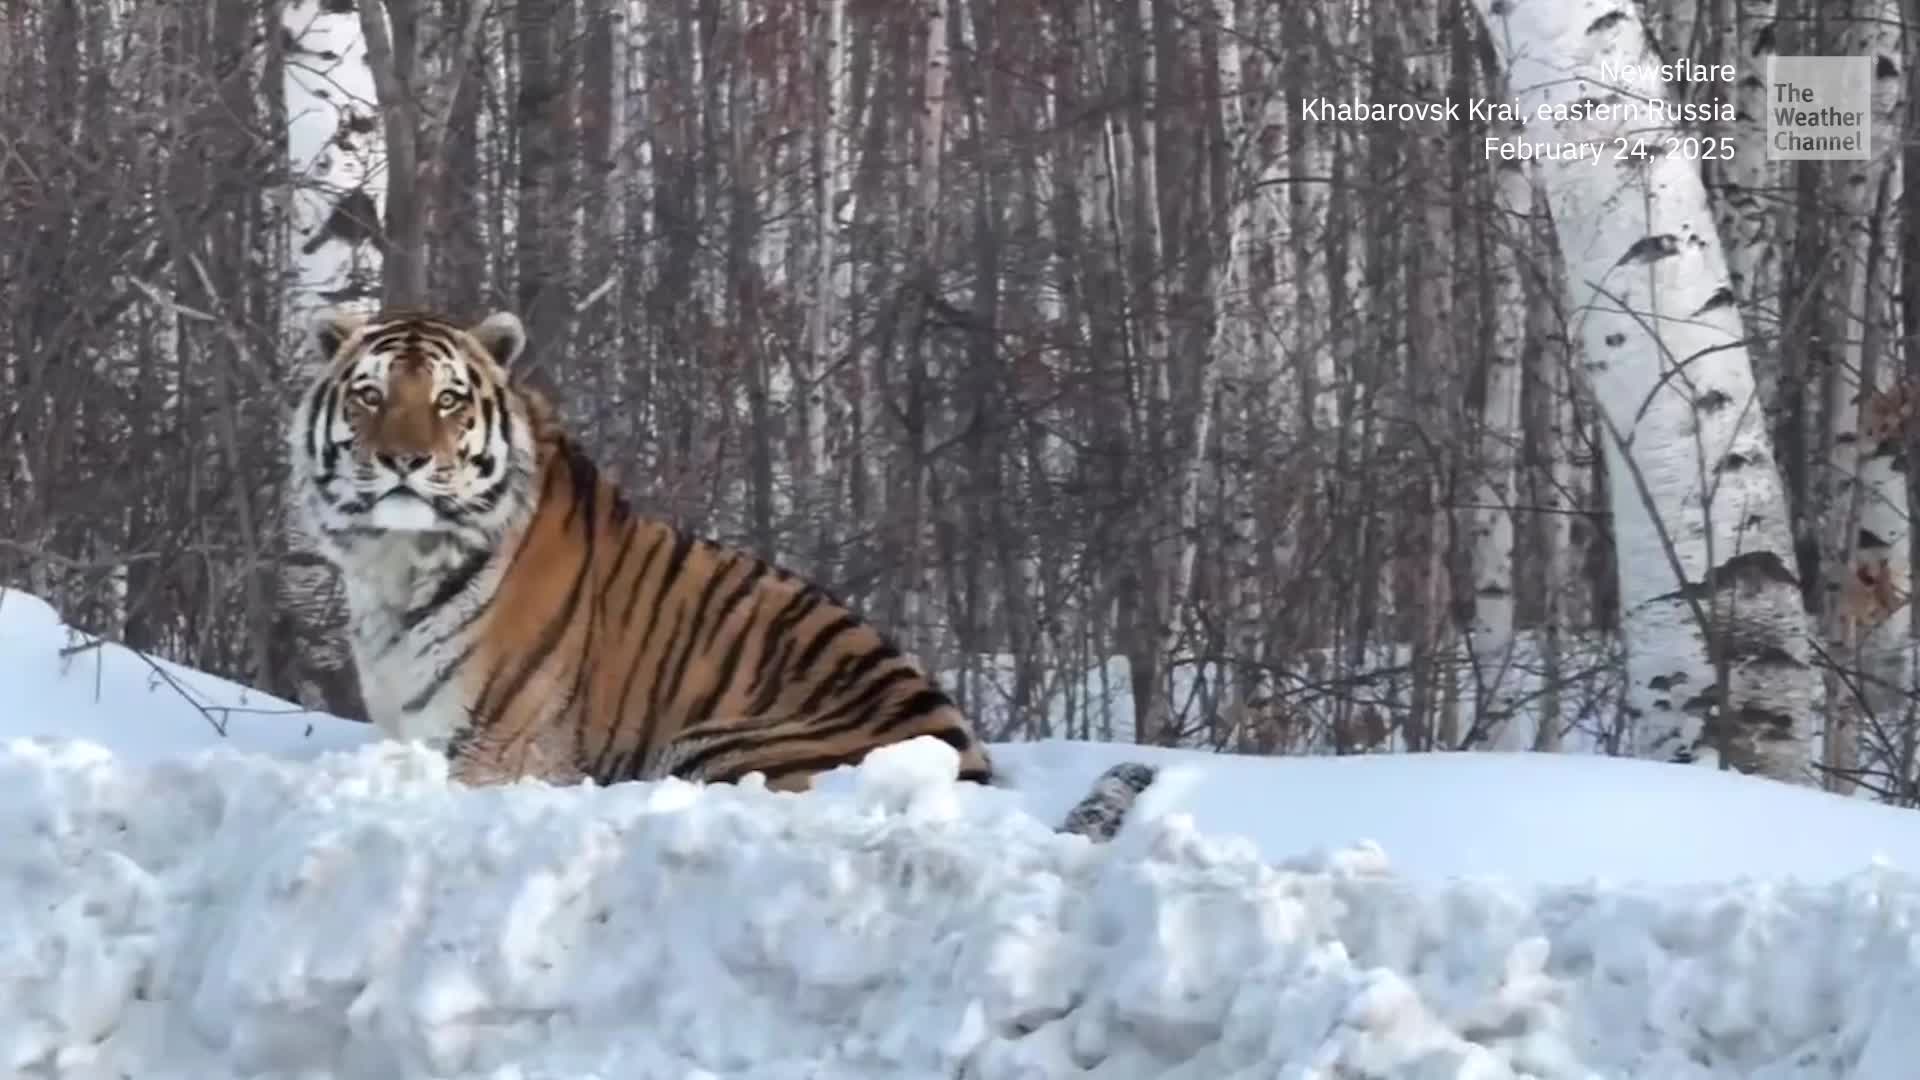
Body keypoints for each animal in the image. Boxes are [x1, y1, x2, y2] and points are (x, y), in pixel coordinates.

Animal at [284, 306, 1157, 840]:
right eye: (369, 396)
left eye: (448, 401)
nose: (404, 461)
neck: (397, 563)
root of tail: (970, 771)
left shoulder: (503, 750)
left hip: (724, 744)